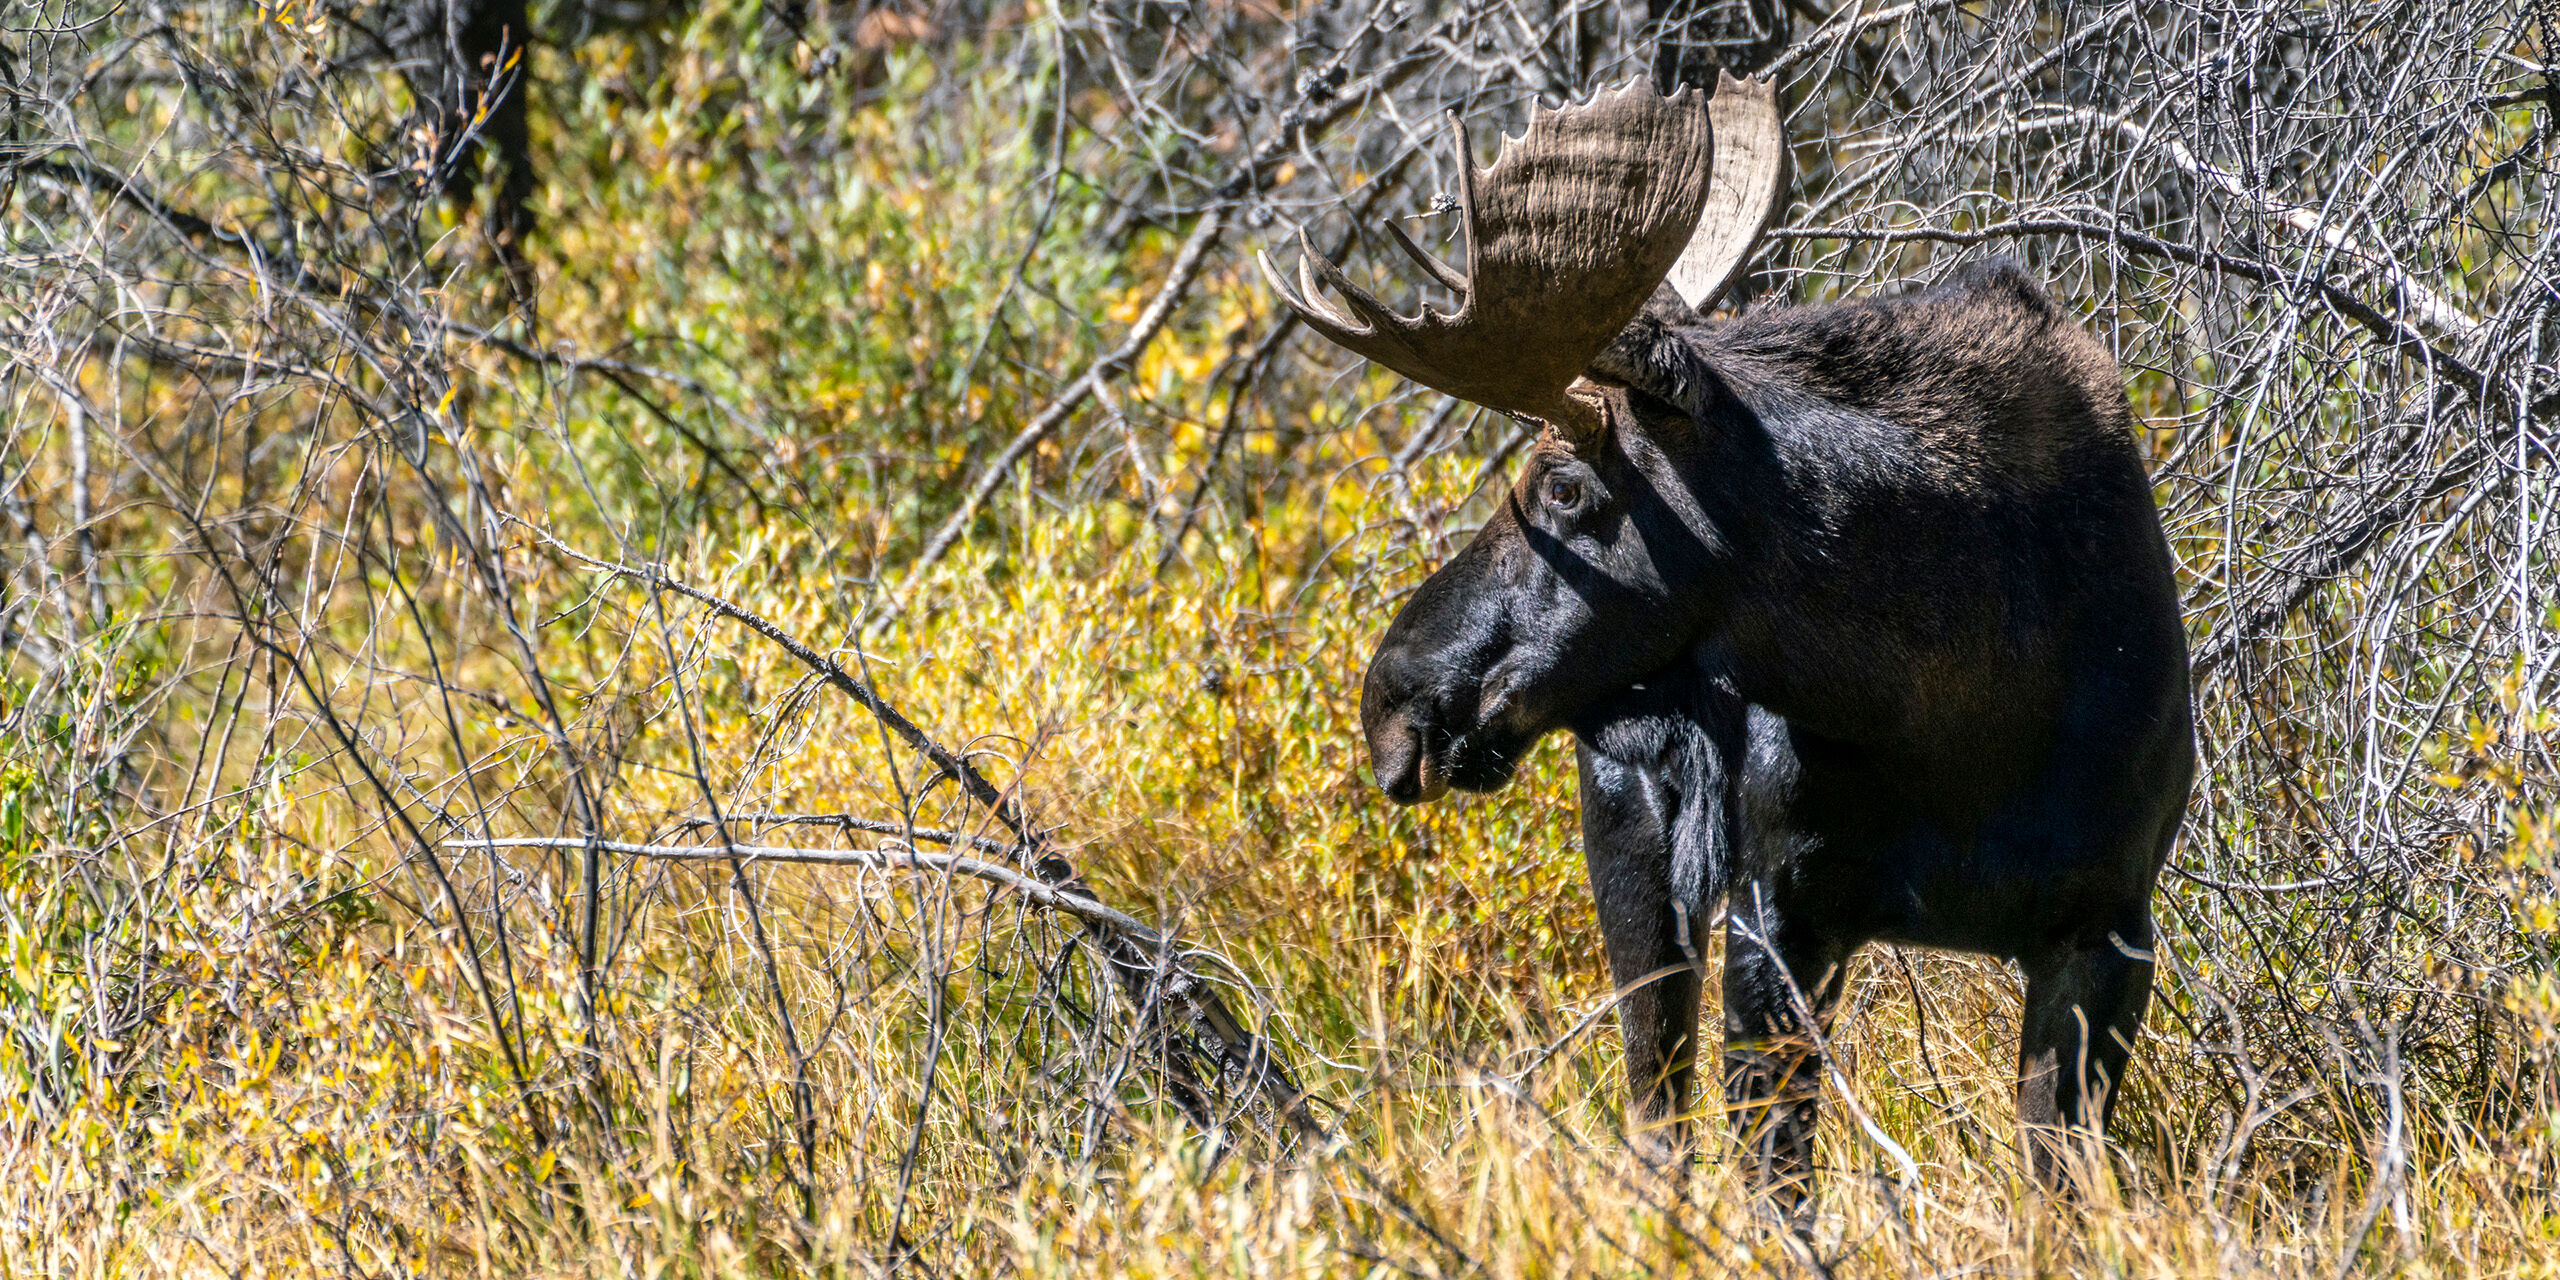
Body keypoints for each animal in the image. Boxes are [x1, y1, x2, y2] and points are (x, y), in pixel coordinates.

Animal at [1260, 75, 2193, 1209]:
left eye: (1563, 485)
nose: (1392, 700)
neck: (1962, 709)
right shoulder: (1775, 909)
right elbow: (1775, 1182)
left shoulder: (2109, 927)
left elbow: (2058, 1179)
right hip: (1634, 846)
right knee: (1655, 1108)